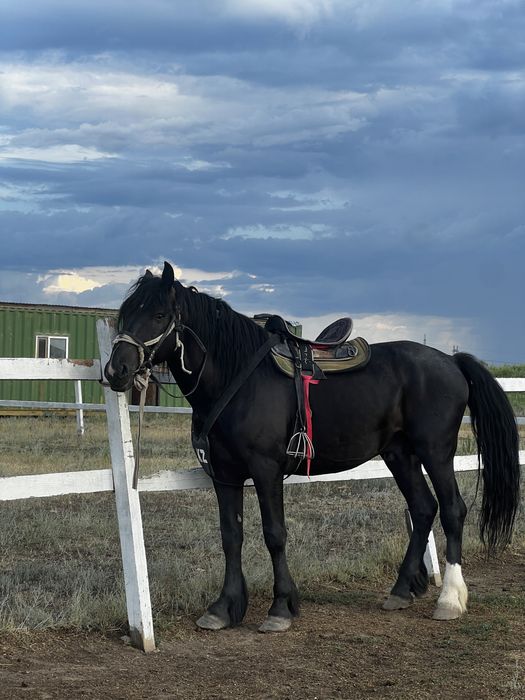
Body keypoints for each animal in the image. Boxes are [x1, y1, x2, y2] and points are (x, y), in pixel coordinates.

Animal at [104, 261, 520, 633]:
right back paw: (401, 590)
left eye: (159, 314)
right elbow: (230, 536)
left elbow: (274, 534)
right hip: (399, 454)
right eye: (126, 314)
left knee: (452, 510)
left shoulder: (266, 470)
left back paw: (449, 599)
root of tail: (451, 360)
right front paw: (223, 608)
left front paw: (280, 608)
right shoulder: (225, 475)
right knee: (423, 509)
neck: (239, 379)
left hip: (435, 452)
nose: (115, 371)